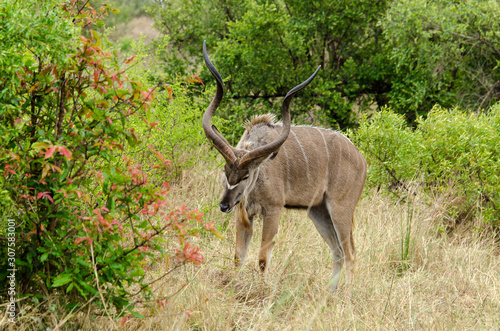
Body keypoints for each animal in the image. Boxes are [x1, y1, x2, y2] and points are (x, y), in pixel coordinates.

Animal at [203, 42, 368, 290]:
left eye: (245, 176)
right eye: (225, 172)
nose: (224, 205)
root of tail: (362, 159)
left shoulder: (273, 209)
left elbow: (262, 258)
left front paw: (262, 290)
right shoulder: (245, 213)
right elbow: (238, 256)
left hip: (341, 209)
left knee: (350, 253)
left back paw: (345, 294)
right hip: (318, 211)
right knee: (337, 251)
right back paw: (330, 293)